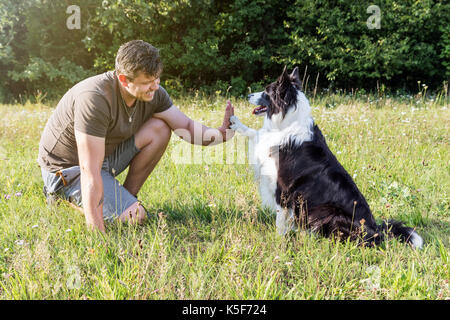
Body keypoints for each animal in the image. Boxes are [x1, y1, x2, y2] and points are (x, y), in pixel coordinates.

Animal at [230, 67, 424, 248]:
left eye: (267, 91)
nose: (248, 95)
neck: (289, 121)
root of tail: (376, 231)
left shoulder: (282, 188)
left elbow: (280, 220)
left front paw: (278, 240)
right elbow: (256, 133)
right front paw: (235, 122)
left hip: (330, 211)